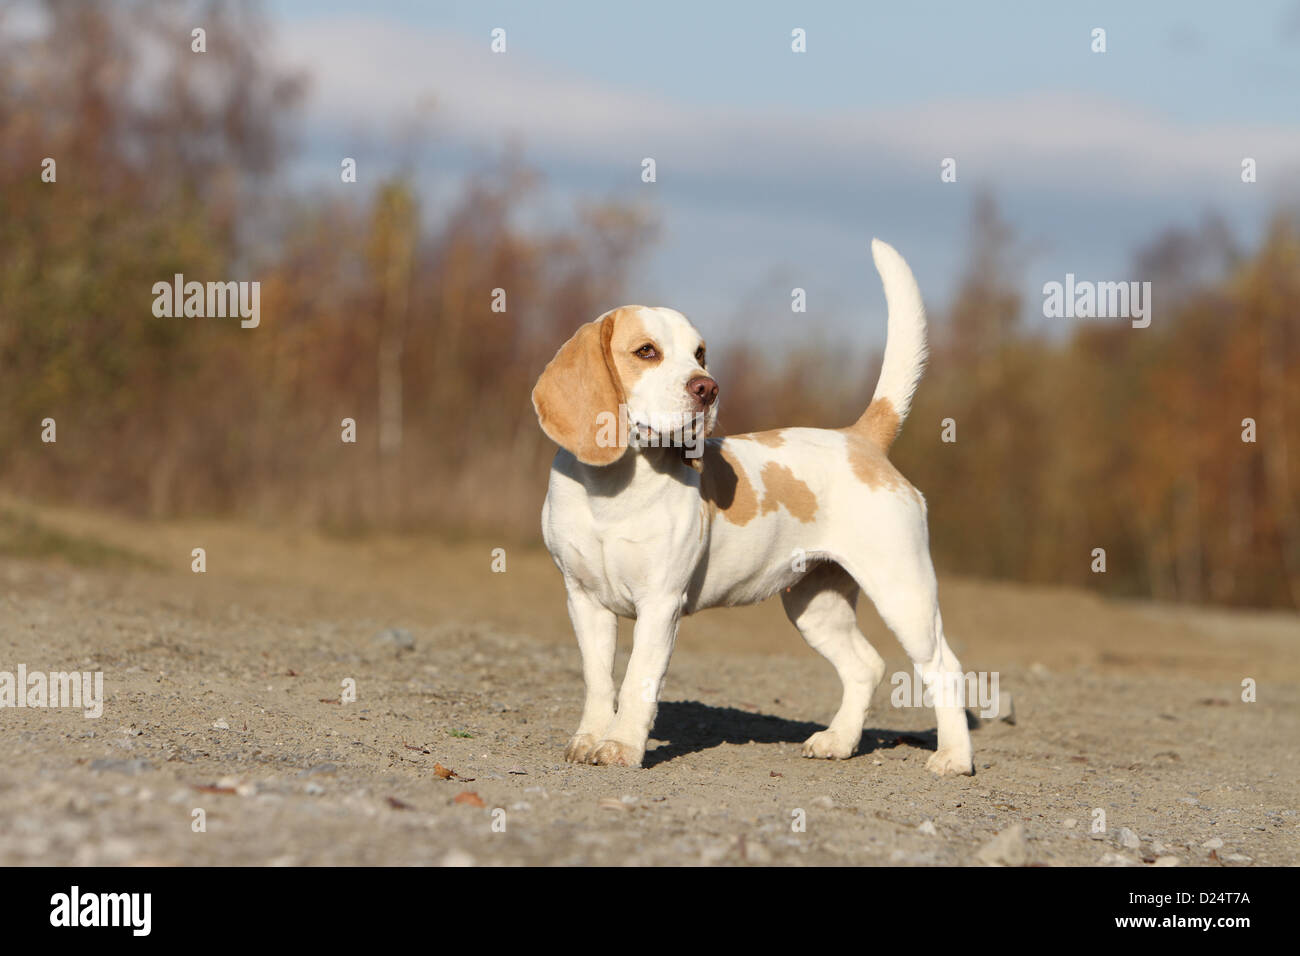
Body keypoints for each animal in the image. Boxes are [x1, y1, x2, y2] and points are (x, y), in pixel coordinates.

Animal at [533, 239, 972, 780]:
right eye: (646, 351)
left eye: (700, 353)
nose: (708, 388)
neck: (613, 488)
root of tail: (860, 439)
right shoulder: (584, 600)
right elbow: (599, 680)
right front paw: (589, 739)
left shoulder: (660, 604)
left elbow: (637, 681)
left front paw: (620, 747)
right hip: (815, 605)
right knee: (865, 666)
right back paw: (838, 741)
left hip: (903, 594)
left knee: (945, 668)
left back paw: (954, 757)